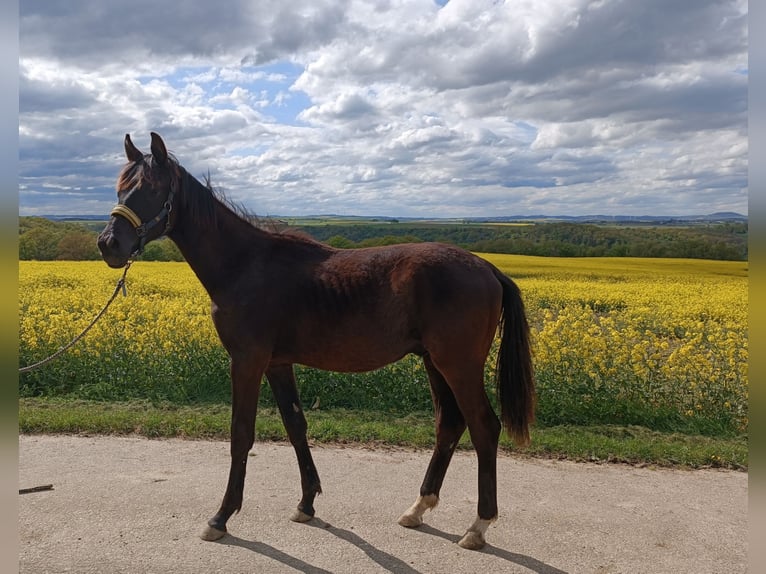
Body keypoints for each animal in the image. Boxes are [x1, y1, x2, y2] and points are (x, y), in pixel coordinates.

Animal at [96, 133, 536, 552]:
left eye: (151, 188)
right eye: (120, 188)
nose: (109, 244)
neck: (244, 265)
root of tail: (487, 268)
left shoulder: (247, 361)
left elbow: (241, 434)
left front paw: (221, 517)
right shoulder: (277, 364)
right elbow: (295, 426)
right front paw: (306, 503)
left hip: (458, 365)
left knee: (483, 427)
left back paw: (478, 527)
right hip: (434, 362)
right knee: (449, 424)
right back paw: (418, 508)